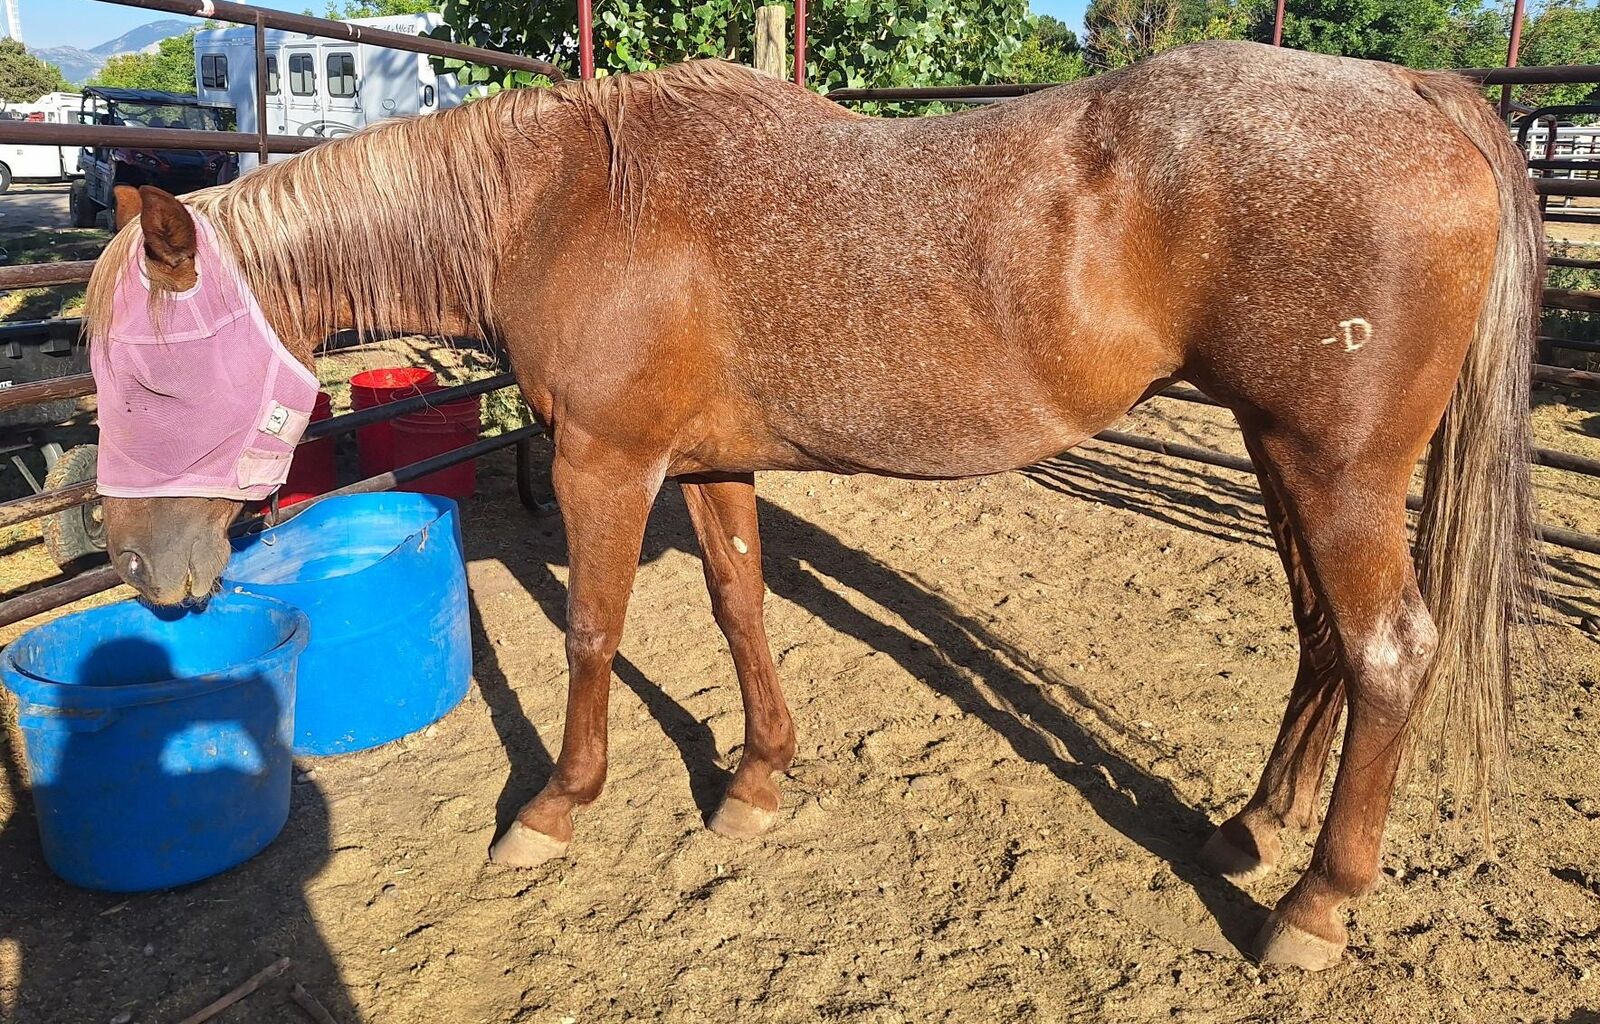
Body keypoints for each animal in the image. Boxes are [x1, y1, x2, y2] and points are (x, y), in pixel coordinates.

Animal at [85, 40, 1541, 971]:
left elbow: (592, 635)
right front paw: (757, 782)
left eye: (149, 367)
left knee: (1388, 650)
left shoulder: (606, 465)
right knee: (1321, 637)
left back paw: (1315, 907)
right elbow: (739, 610)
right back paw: (1252, 827)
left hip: (1335, 469)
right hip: (1284, 453)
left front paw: (553, 812)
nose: (151, 574)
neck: (565, 202)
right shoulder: (705, 466)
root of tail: (1425, 98)